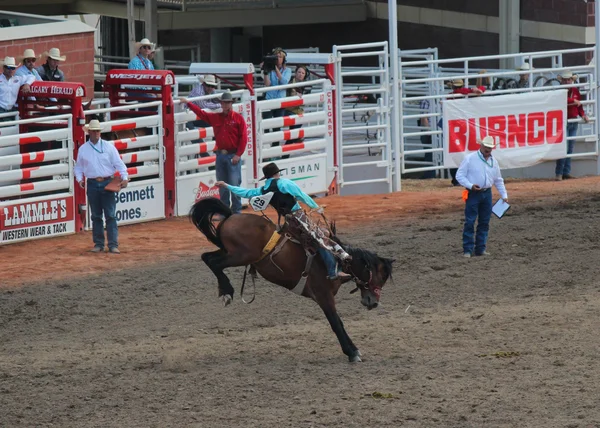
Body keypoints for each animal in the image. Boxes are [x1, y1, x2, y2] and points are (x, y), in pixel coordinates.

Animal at [188, 197, 394, 362]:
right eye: (382, 276)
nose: (373, 302)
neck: (339, 261)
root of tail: (231, 216)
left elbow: (338, 323)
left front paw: (353, 350)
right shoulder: (323, 296)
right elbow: (337, 323)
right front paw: (352, 353)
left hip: (230, 252)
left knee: (206, 257)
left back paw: (224, 291)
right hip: (240, 255)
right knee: (213, 262)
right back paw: (227, 292)